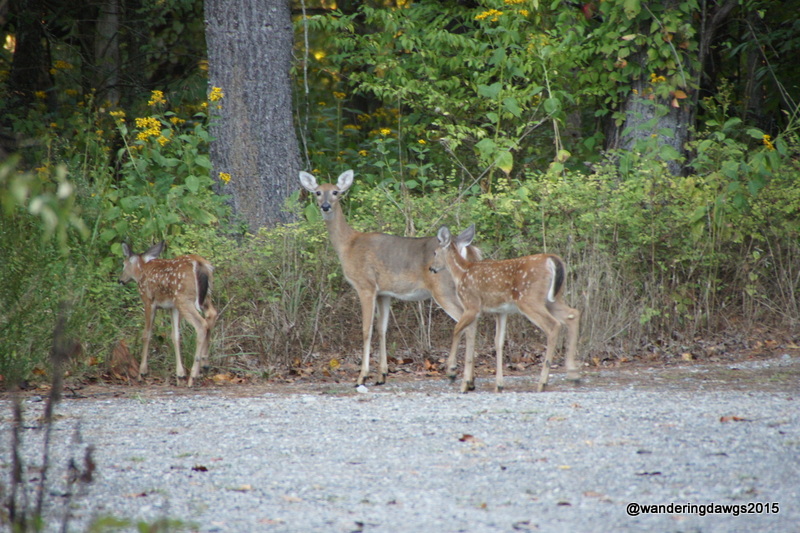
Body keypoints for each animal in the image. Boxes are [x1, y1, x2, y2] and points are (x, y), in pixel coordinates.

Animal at [119, 242, 218, 387]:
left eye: (124, 264)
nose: (120, 280)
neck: (141, 271)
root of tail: (200, 264)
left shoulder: (148, 301)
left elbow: (146, 334)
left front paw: (142, 373)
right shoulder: (172, 307)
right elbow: (175, 336)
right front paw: (180, 375)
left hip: (184, 298)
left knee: (201, 325)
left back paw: (193, 376)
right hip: (204, 296)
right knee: (212, 314)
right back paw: (204, 365)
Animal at [299, 169, 492, 386]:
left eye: (335, 192)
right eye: (317, 192)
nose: (325, 206)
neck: (348, 245)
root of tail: (463, 246)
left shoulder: (365, 285)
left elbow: (366, 330)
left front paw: (362, 376)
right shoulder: (384, 293)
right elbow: (382, 329)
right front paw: (381, 375)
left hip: (443, 288)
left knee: (467, 321)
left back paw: (455, 373)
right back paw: (468, 377)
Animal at [430, 224, 581, 393]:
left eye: (435, 252)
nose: (431, 268)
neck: (461, 273)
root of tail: (552, 259)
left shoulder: (471, 305)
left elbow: (458, 331)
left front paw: (455, 375)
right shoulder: (500, 311)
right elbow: (498, 341)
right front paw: (498, 384)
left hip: (529, 299)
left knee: (553, 325)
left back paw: (543, 382)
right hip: (552, 299)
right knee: (573, 314)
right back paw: (573, 375)